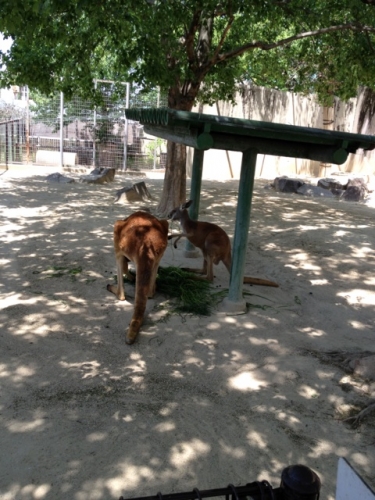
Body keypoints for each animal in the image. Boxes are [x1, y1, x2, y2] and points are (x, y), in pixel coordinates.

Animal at [106, 211, 170, 344]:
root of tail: (146, 247)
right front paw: (132, 277)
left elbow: (124, 267)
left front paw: (130, 277)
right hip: (161, 246)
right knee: (149, 292)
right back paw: (152, 287)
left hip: (117, 232)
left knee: (121, 294)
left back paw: (113, 288)